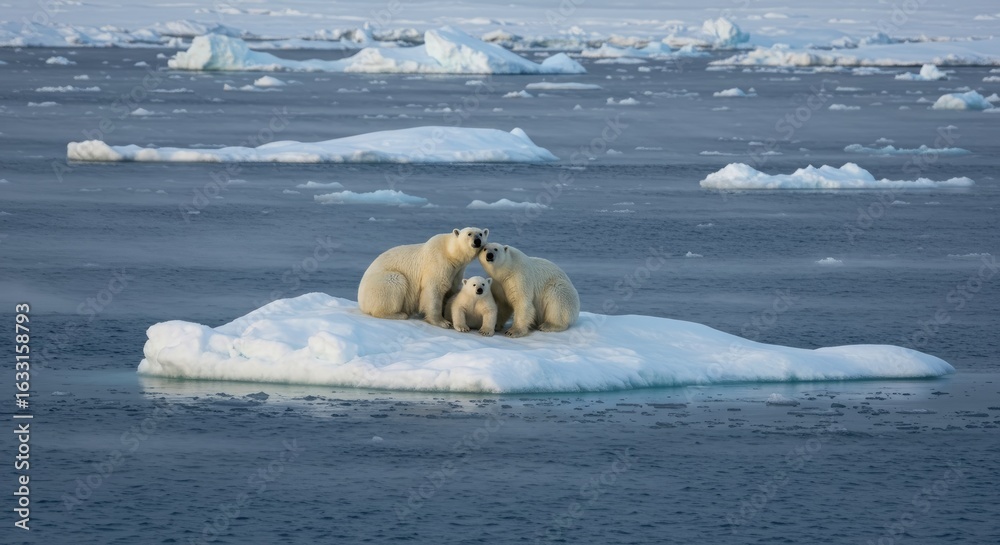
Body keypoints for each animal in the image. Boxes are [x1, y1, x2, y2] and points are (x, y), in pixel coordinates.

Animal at [358, 227, 488, 328]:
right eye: (469, 234)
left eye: (481, 234)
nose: (477, 241)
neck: (450, 253)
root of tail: (360, 299)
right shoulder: (438, 263)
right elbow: (434, 290)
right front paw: (442, 322)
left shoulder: (457, 271)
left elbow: (452, 290)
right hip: (382, 283)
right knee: (395, 282)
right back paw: (399, 314)